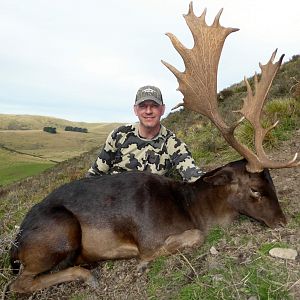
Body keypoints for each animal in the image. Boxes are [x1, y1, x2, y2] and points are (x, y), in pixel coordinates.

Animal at [8, 1, 298, 292]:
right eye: (255, 190)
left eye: (272, 183)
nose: (282, 221)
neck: (192, 208)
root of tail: (14, 245)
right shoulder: (150, 238)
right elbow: (193, 237)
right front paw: (143, 263)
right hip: (60, 231)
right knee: (19, 283)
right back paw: (86, 274)